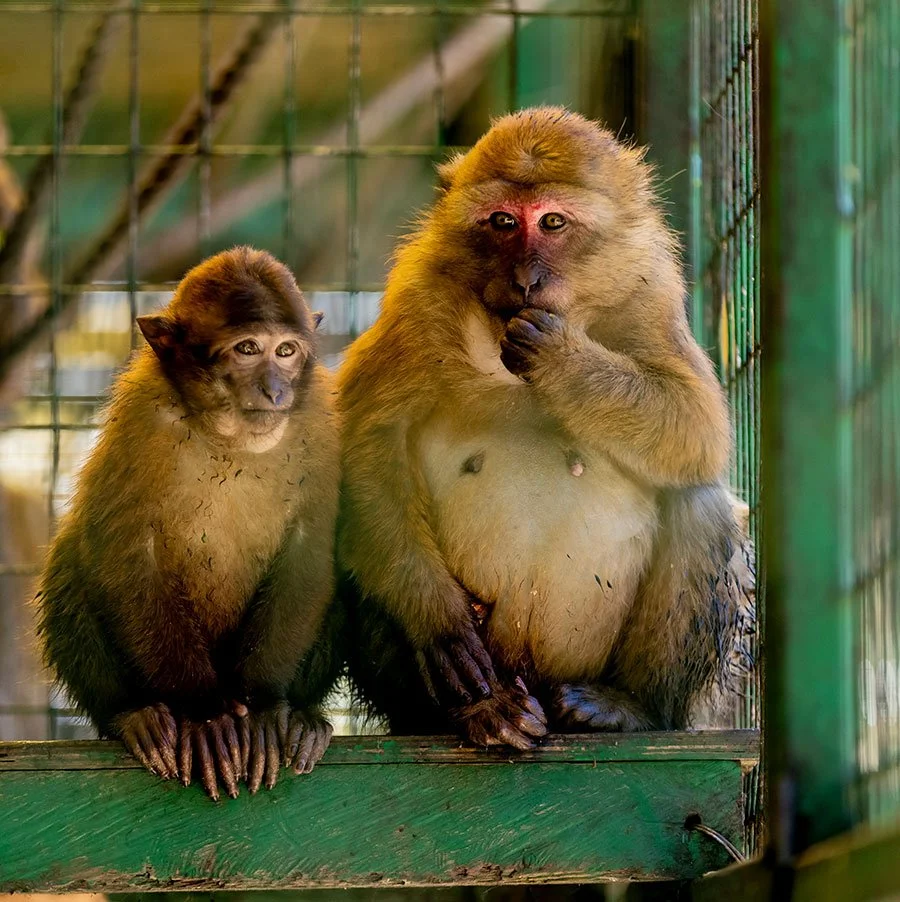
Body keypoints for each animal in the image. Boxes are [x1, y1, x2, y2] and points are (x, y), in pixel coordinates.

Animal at [36, 246, 341, 798]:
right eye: (247, 348)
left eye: (286, 351)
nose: (275, 390)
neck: (227, 438)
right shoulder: (141, 418)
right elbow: (126, 552)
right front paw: (202, 716)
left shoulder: (320, 423)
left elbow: (310, 549)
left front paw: (264, 708)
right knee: (73, 555)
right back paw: (135, 716)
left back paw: (303, 719)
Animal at [336, 107, 755, 748]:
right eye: (504, 221)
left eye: (553, 222)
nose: (526, 279)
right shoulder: (418, 297)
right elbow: (366, 441)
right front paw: (439, 622)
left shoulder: (649, 292)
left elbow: (696, 425)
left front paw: (561, 358)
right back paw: (477, 711)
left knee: (698, 500)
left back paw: (627, 706)